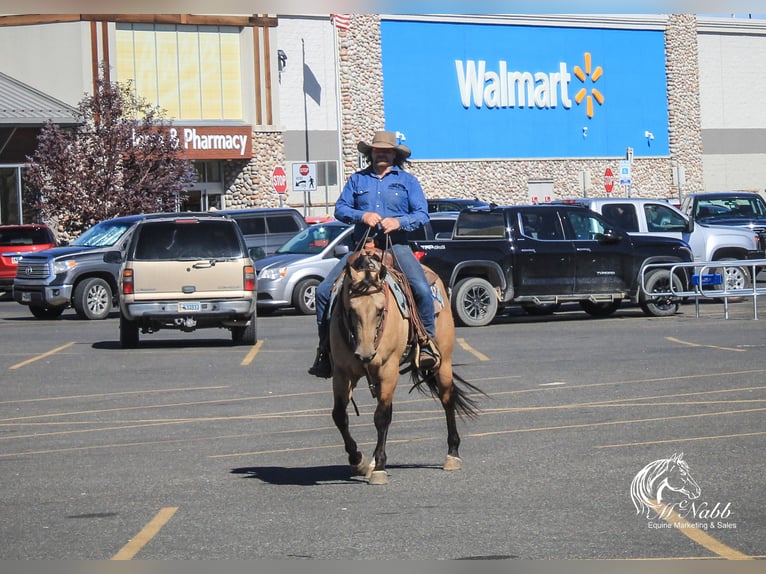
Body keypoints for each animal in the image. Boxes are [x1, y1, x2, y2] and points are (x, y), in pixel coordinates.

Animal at [328, 249, 484, 486]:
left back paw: (452, 455)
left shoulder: (388, 370)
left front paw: (379, 468)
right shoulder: (342, 372)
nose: (365, 354)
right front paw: (359, 460)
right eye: (351, 310)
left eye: (380, 310)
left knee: (448, 400)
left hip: (444, 361)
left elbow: (381, 417)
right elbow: (339, 415)